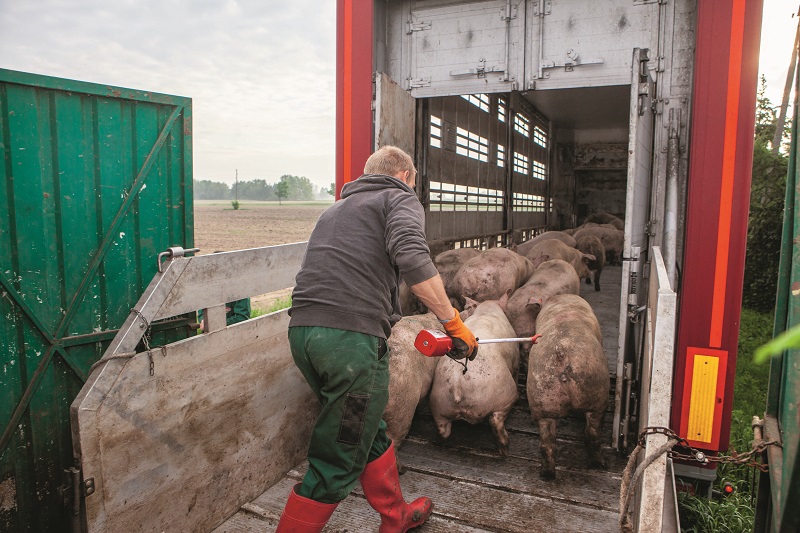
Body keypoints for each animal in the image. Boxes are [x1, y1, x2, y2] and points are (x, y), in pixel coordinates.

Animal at [428, 294, 520, 456]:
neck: (487, 310)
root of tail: (457, 384)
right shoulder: (515, 359)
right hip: (504, 395)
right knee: (495, 420)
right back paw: (504, 449)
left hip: (437, 403)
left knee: (443, 429)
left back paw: (440, 440)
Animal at [528, 294, 608, 480]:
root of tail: (562, 353)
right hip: (597, 392)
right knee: (594, 433)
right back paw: (598, 464)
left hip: (542, 397)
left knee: (547, 444)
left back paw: (547, 474)